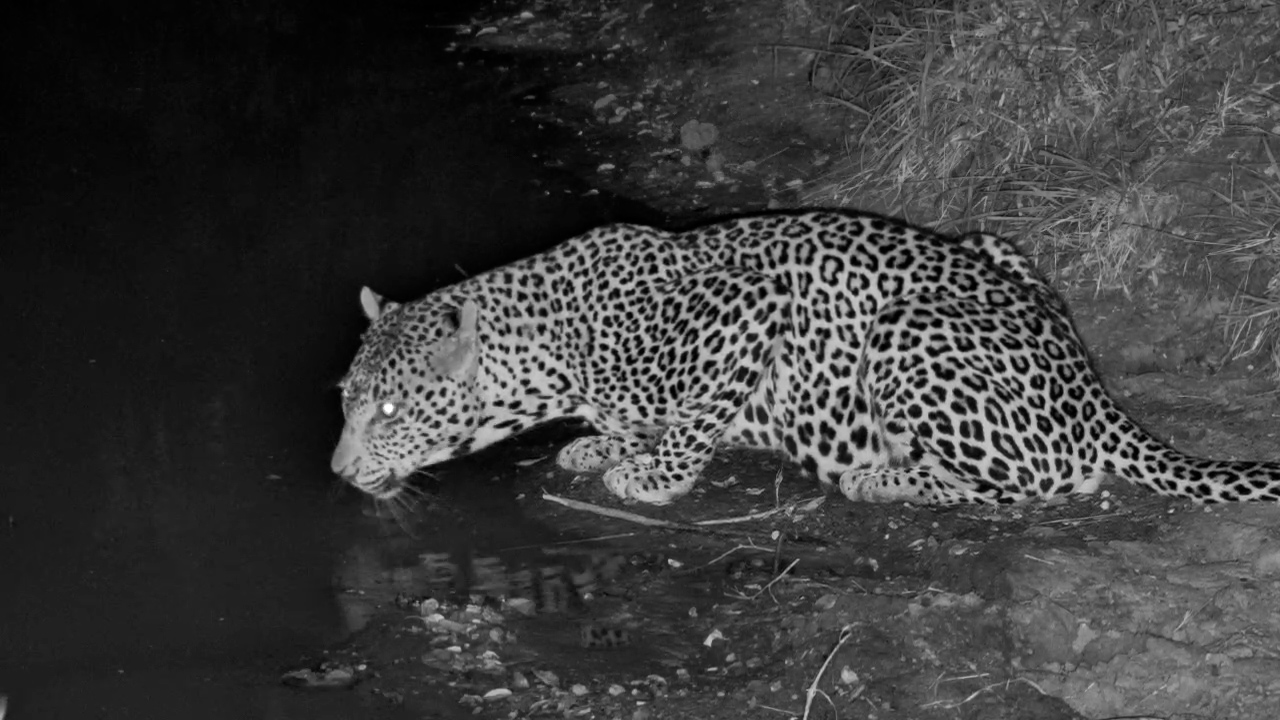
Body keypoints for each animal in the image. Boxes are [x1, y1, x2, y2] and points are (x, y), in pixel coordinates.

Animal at [331, 209, 1280, 506]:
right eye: (346, 397)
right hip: (996, 243)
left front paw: (653, 475)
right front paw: (605, 445)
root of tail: (1092, 387)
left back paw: (882, 477)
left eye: (389, 410)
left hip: (906, 332)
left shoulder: (752, 308)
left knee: (1048, 478)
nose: (337, 471)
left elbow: (694, 419)